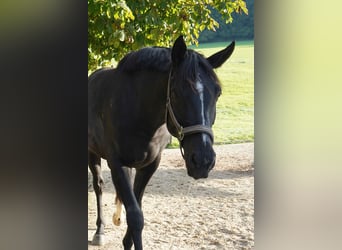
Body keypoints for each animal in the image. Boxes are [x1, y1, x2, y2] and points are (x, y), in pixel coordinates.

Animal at [87, 35, 235, 250]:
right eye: (176, 92)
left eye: (218, 93)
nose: (202, 161)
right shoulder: (116, 164)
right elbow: (135, 216)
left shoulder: (150, 165)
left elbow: (137, 207)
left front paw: (127, 242)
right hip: (92, 153)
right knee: (98, 186)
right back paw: (99, 231)